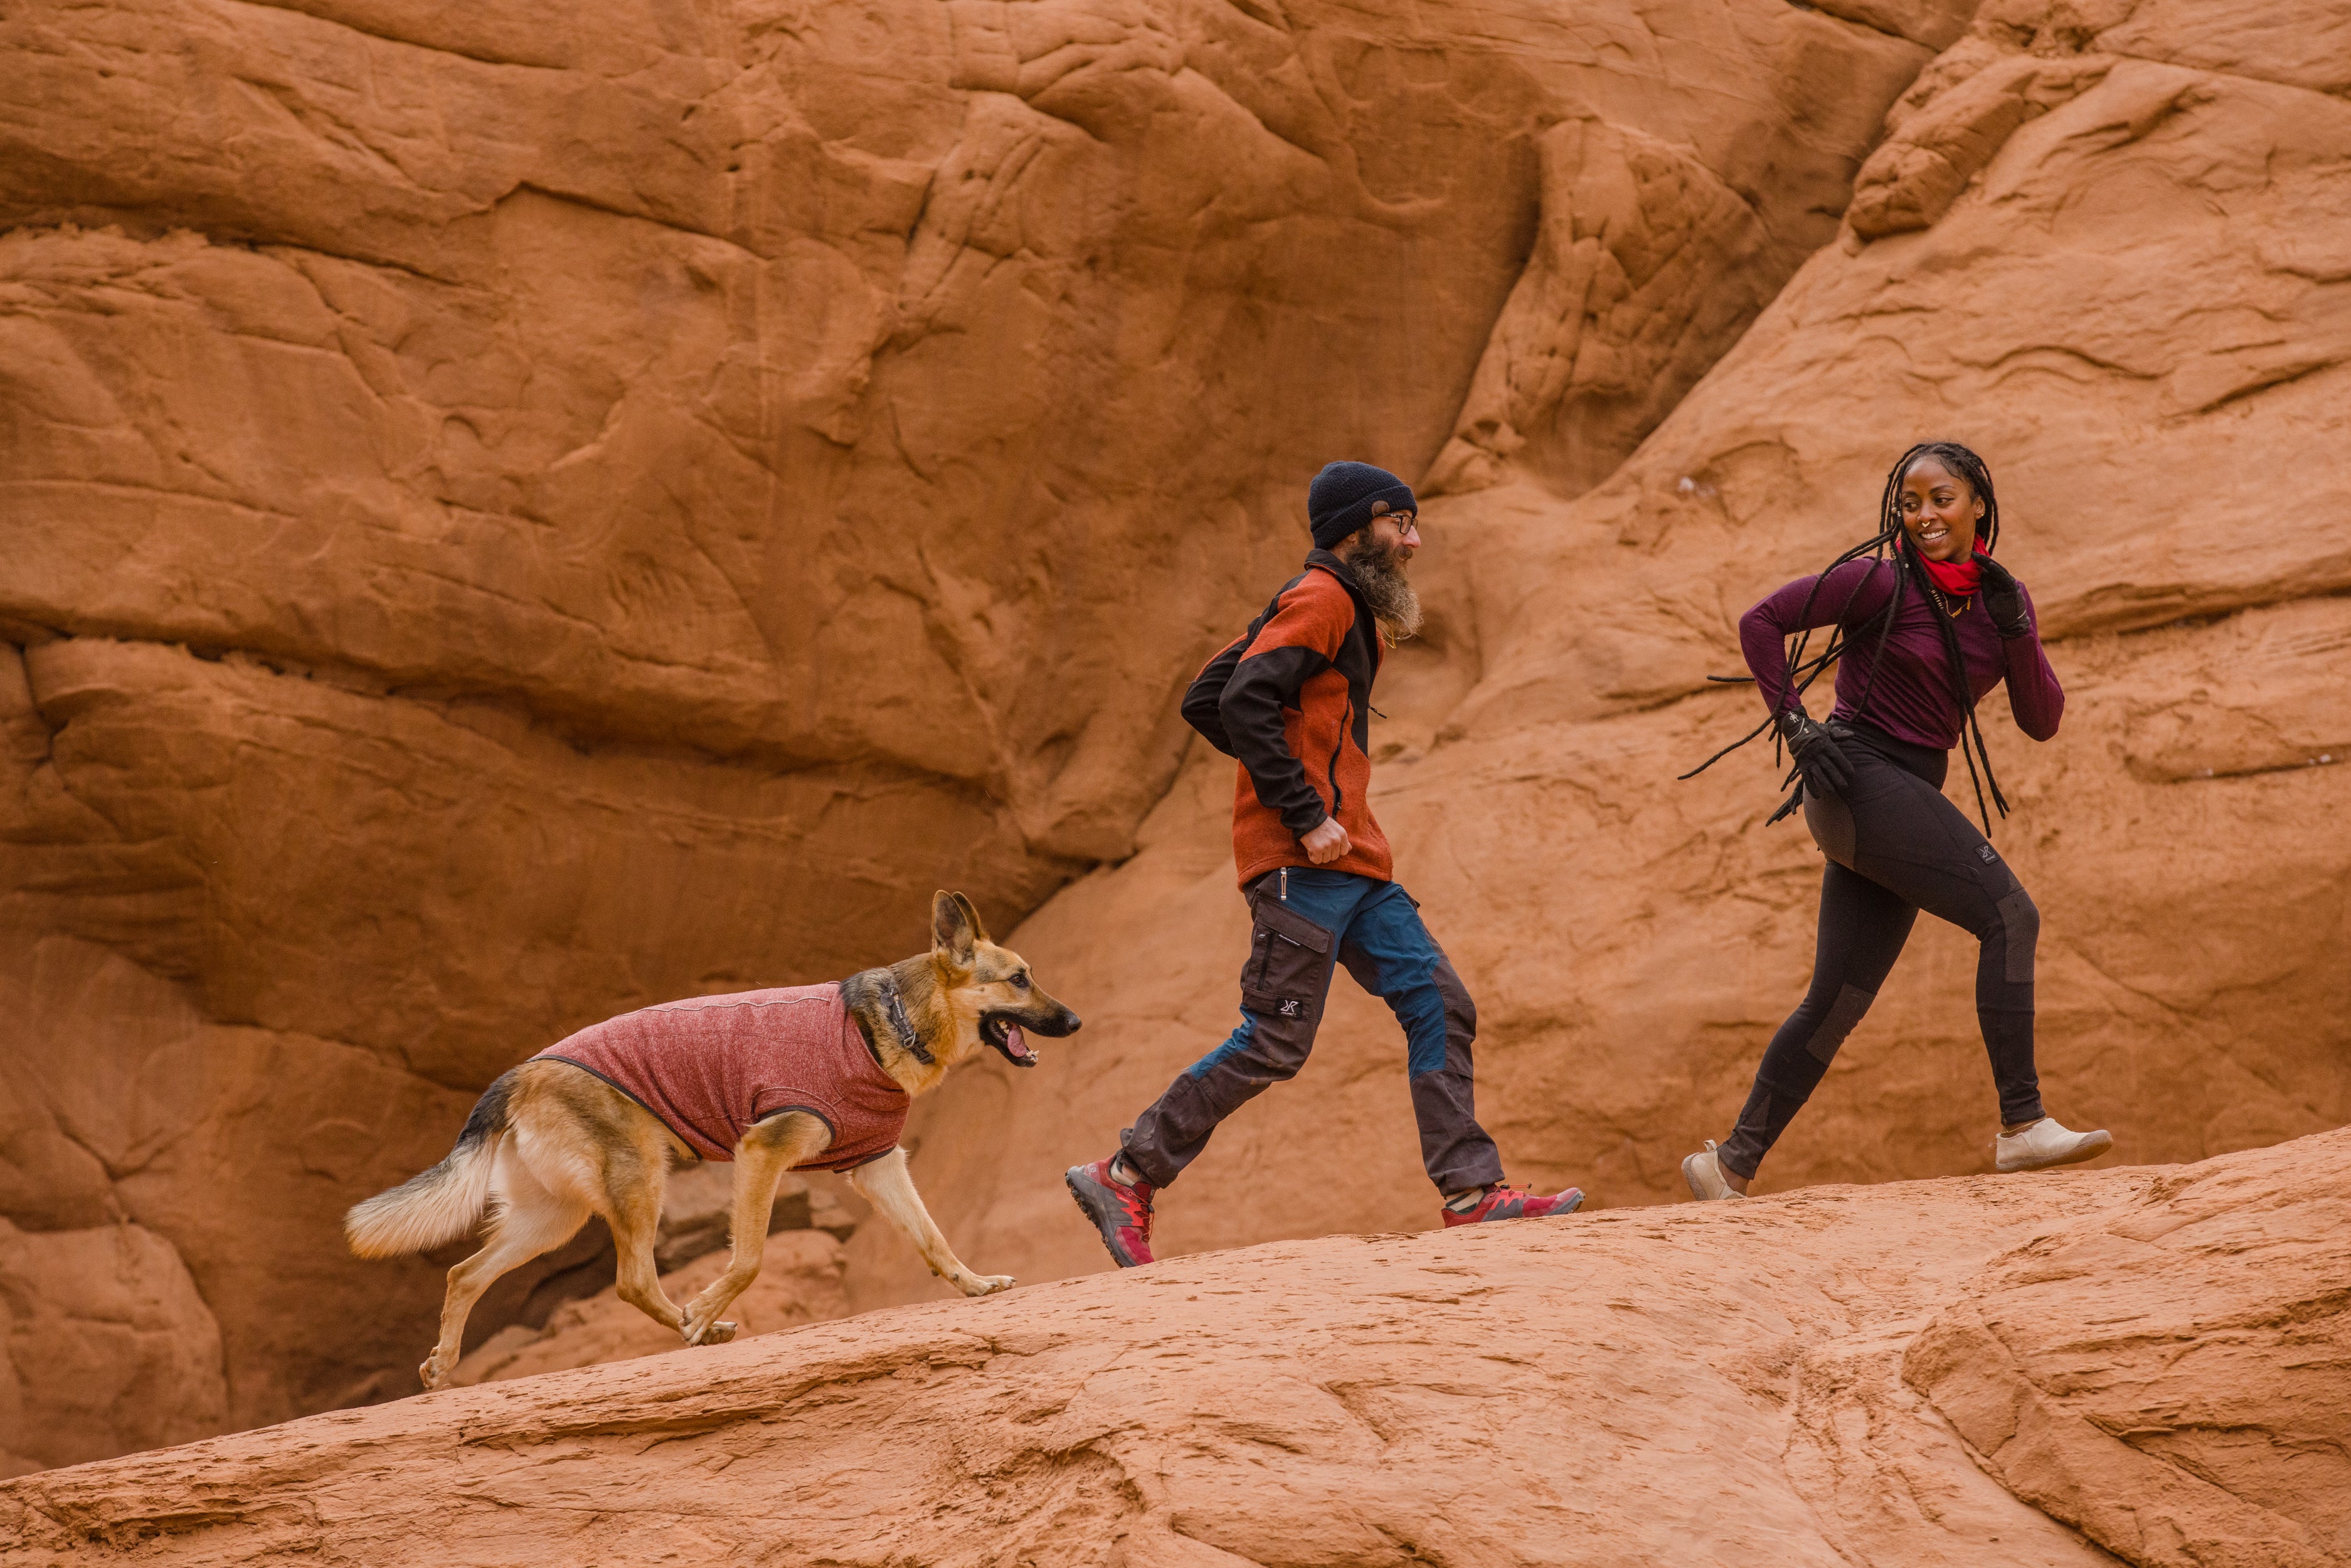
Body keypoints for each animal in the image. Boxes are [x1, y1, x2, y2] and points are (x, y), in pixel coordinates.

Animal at [348, 888, 1081, 1391]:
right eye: (1019, 979)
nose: (1075, 1021)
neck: (894, 1022)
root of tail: (518, 1075)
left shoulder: (877, 1166)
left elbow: (933, 1238)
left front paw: (975, 1285)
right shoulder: (763, 1153)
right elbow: (749, 1257)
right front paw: (705, 1306)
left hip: (552, 1217)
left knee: (465, 1273)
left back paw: (444, 1367)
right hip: (638, 1183)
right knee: (631, 1281)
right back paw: (693, 1324)